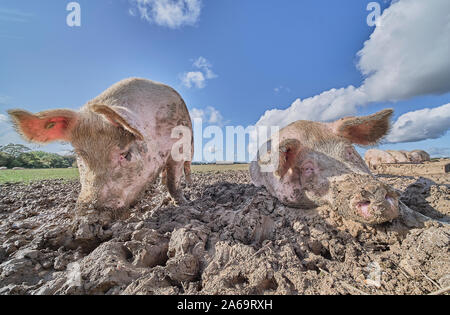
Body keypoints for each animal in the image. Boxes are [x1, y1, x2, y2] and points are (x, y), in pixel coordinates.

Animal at [7, 78, 192, 212]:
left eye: (126, 155)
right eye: (80, 156)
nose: (88, 210)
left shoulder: (179, 148)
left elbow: (174, 180)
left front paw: (182, 204)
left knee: (186, 168)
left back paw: (188, 185)